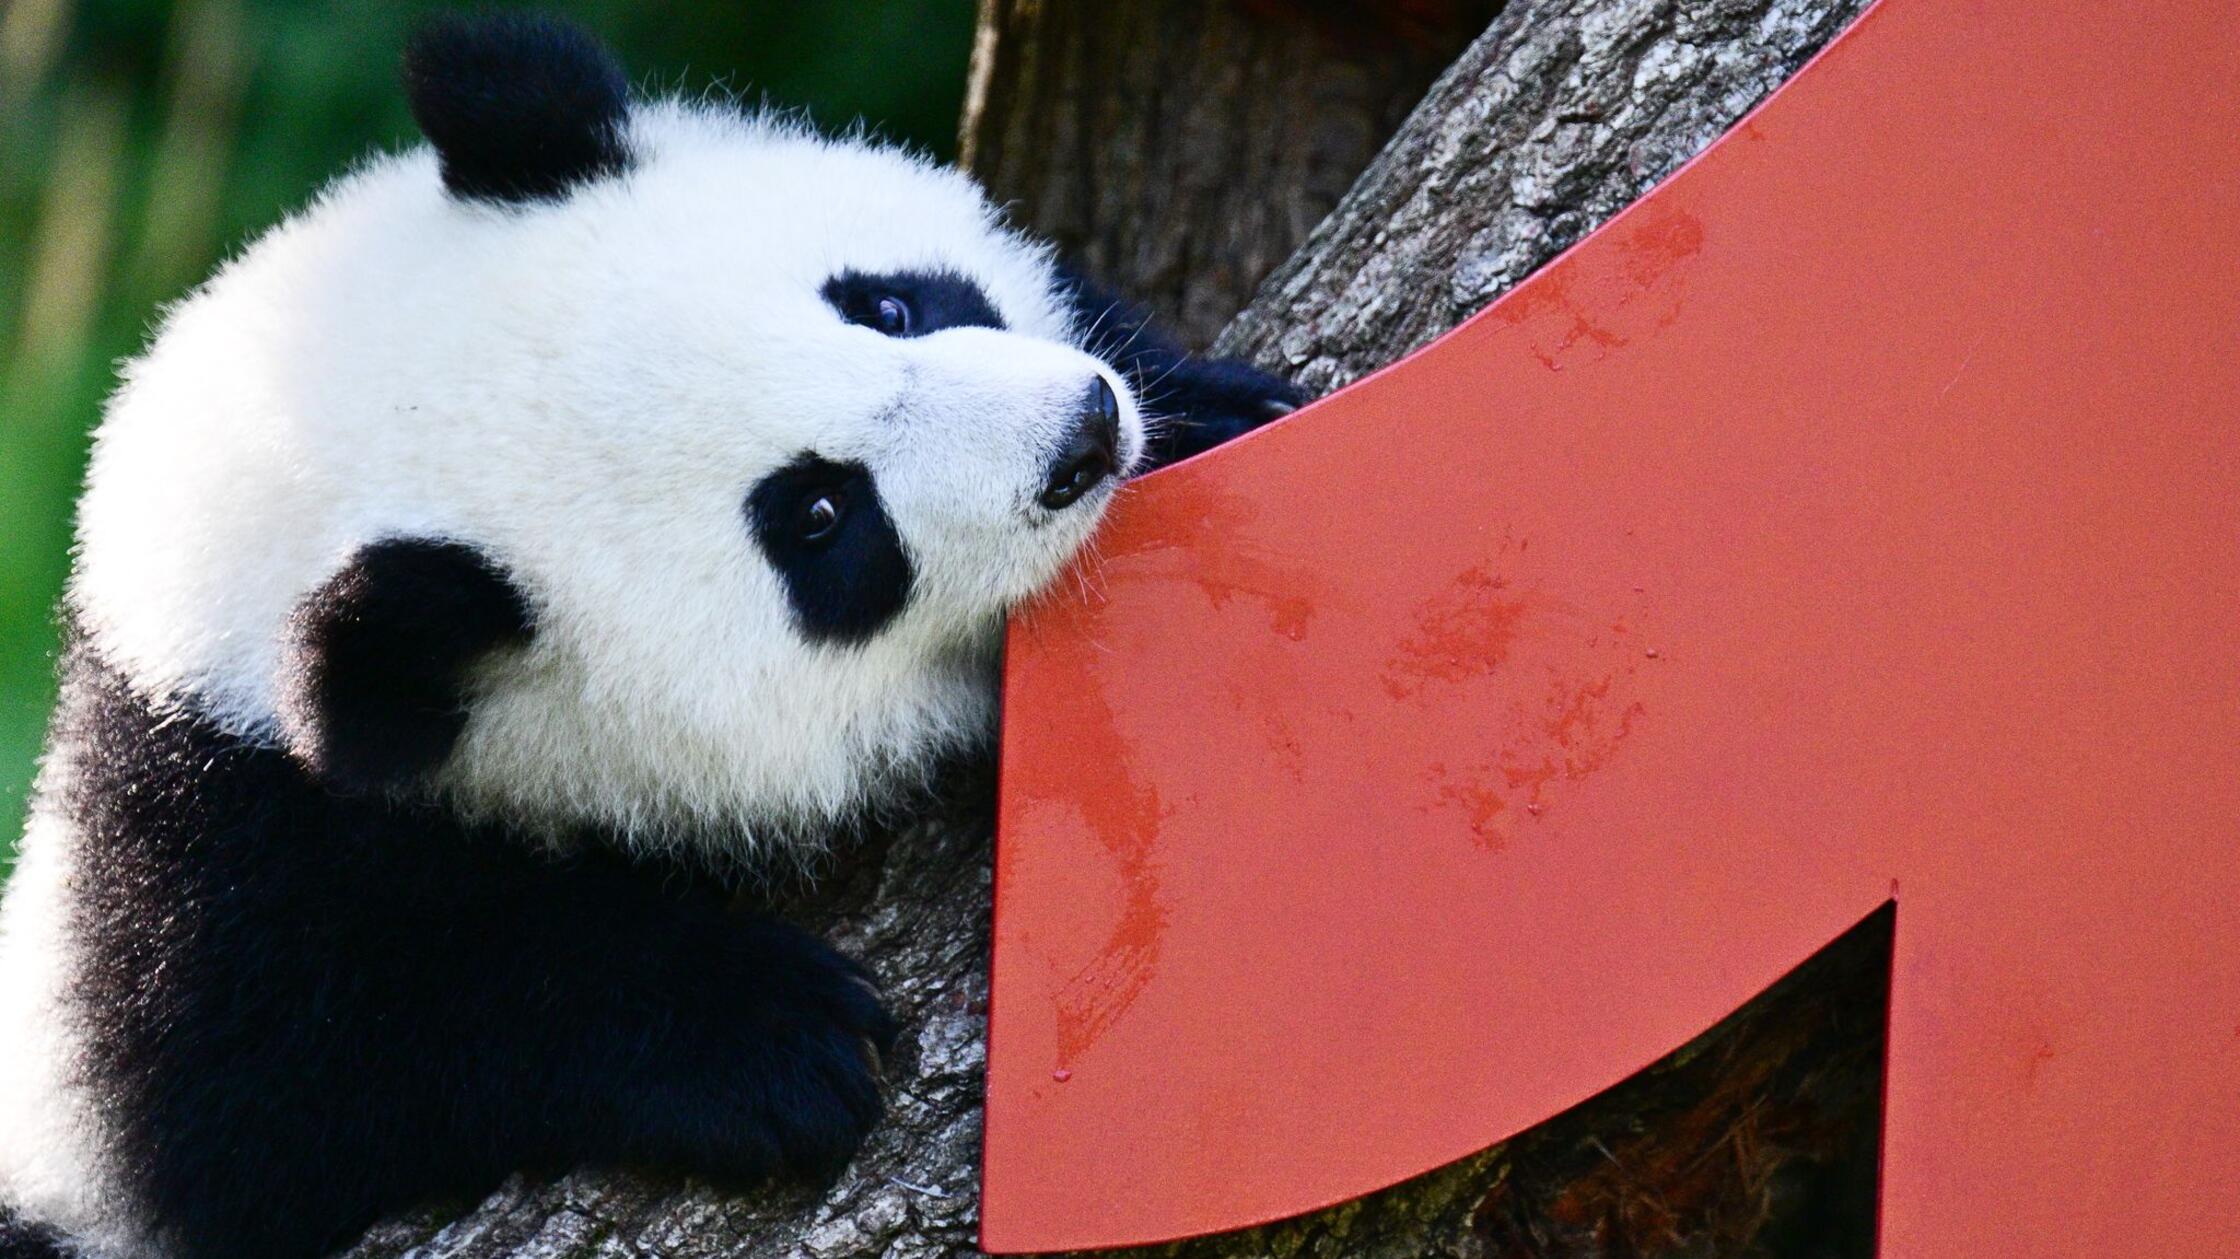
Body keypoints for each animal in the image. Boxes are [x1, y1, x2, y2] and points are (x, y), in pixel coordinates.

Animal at [0, 15, 1300, 1259]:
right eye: (819, 519)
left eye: (883, 303)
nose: (1083, 434)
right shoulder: (200, 897)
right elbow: (293, 1083)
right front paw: (771, 1036)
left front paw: (1211, 403)